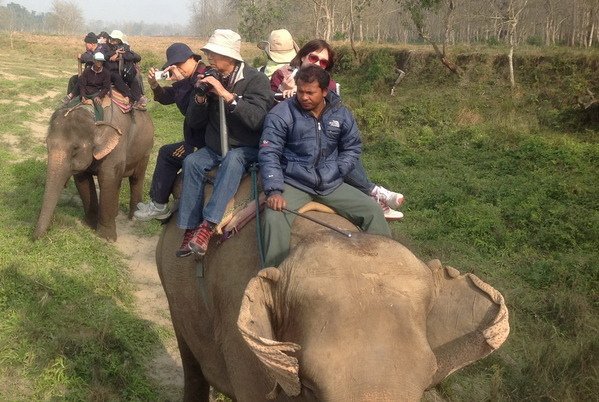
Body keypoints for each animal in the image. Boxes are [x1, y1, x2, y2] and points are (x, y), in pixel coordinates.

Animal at [32, 104, 155, 242]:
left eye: (75, 149)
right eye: (47, 144)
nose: (35, 238)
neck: (93, 117)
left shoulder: (116, 149)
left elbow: (108, 180)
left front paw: (107, 238)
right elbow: (83, 181)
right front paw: (90, 226)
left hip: (146, 149)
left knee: (136, 178)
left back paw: (133, 217)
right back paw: (115, 214)